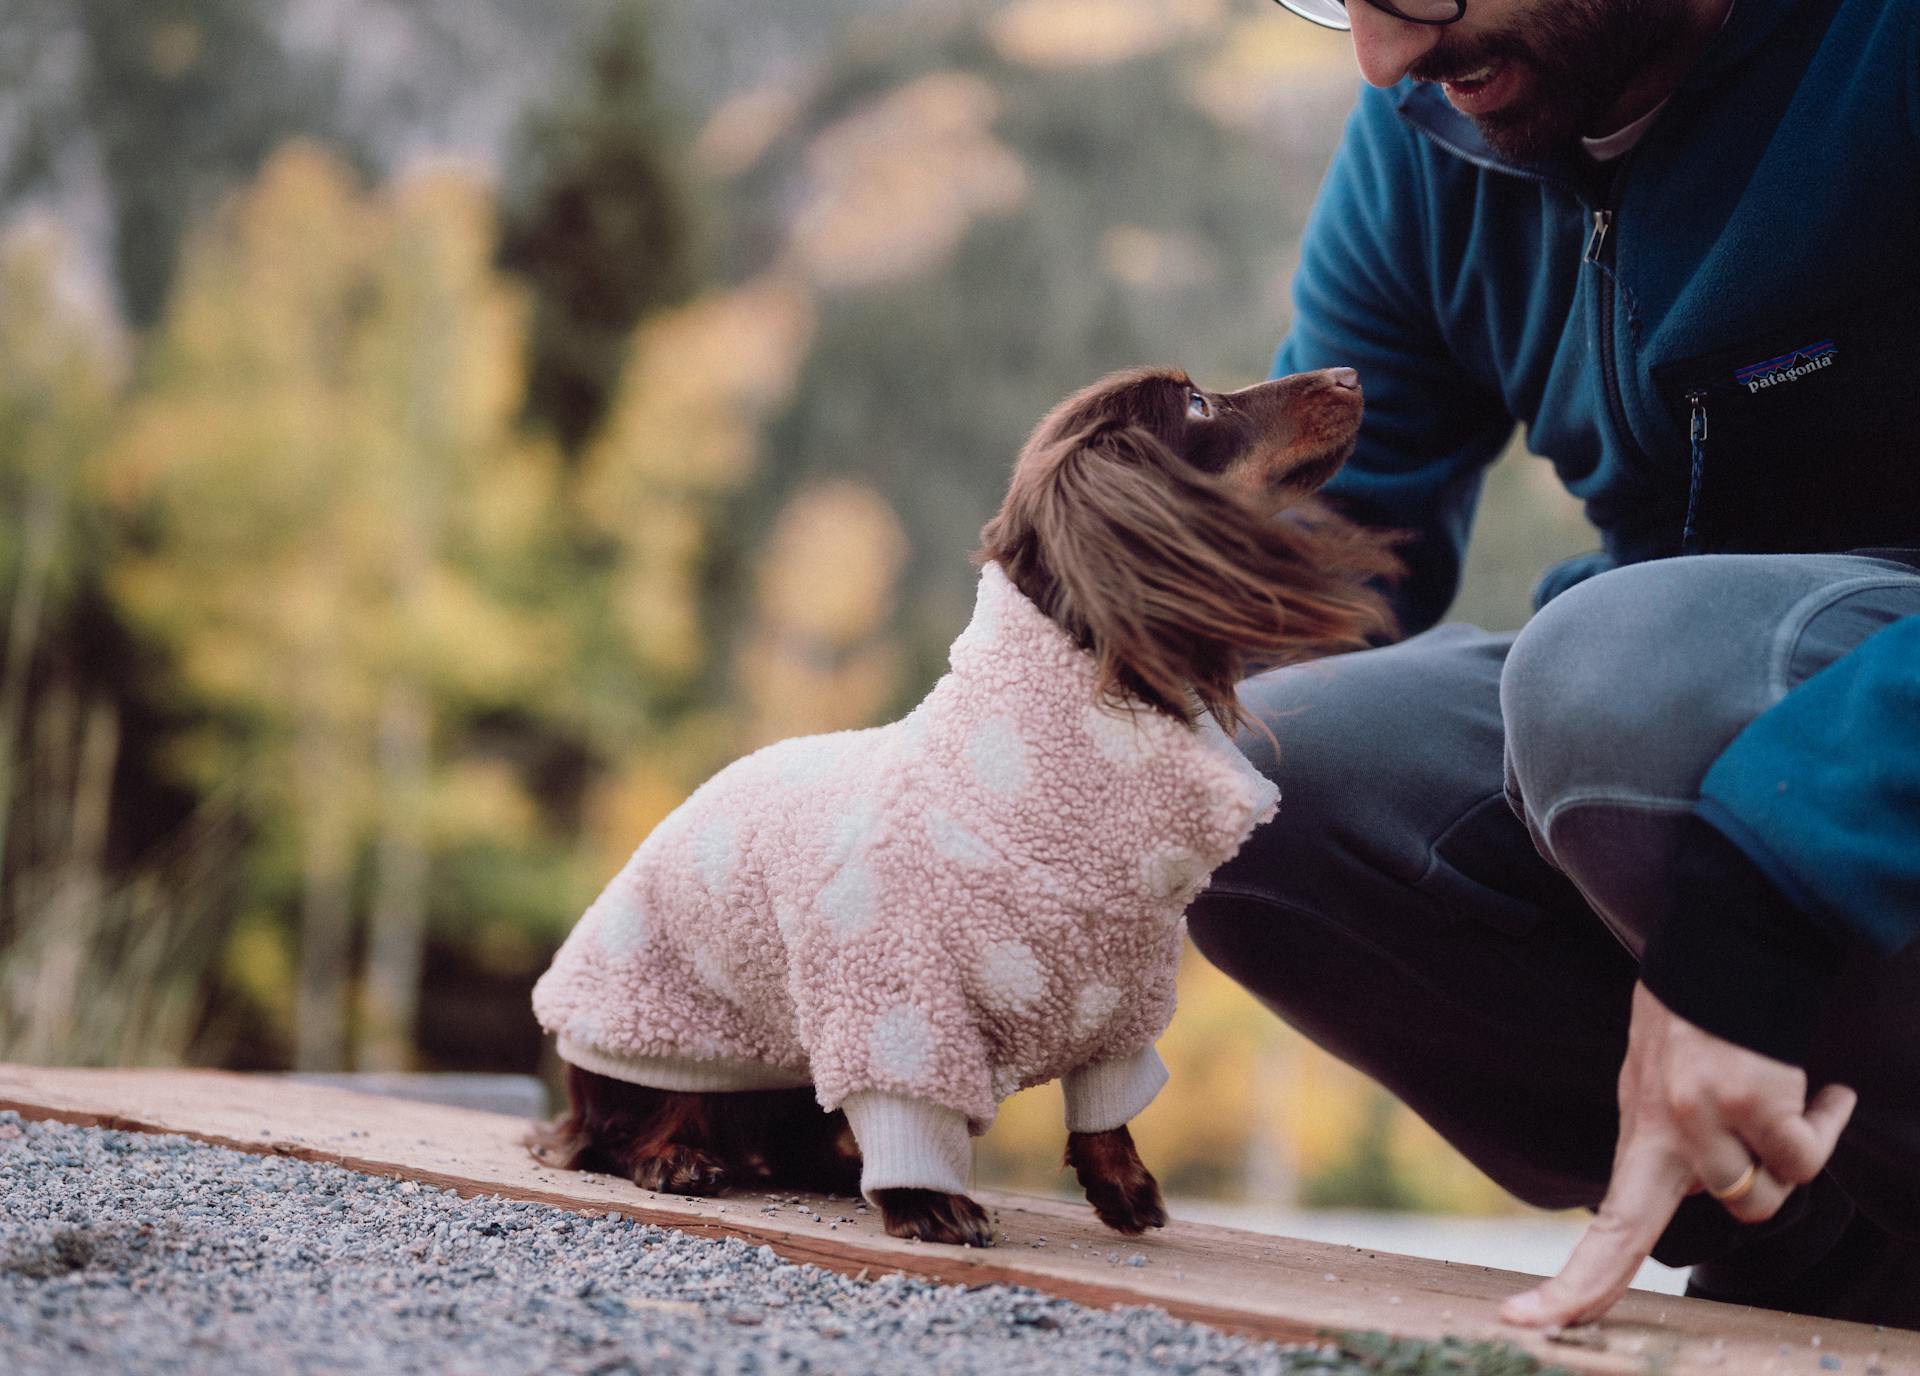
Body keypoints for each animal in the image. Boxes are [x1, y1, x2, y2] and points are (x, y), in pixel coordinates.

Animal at [526, 364, 1397, 1243]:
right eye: (1195, 404)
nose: (1350, 375)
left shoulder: (1120, 1002)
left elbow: (1107, 1106)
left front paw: (1123, 1186)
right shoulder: (901, 1011)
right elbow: (914, 1112)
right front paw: (927, 1202)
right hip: (669, 1030)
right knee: (614, 1128)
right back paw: (676, 1156)